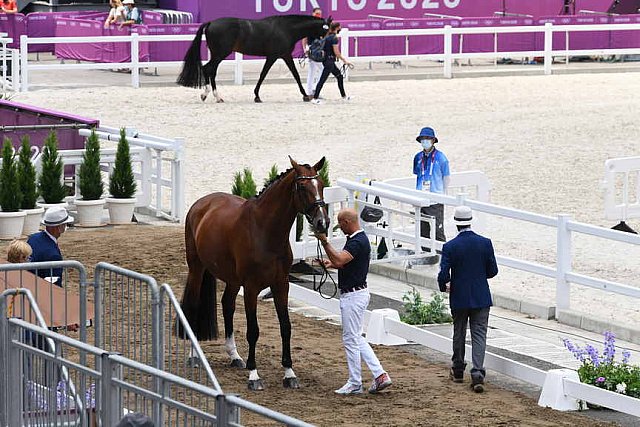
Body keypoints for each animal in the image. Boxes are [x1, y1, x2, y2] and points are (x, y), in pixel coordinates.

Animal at [178, 15, 332, 103]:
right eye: (326, 30)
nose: (325, 46)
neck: (286, 29)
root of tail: (210, 23)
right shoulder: (277, 56)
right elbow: (269, 75)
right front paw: (306, 95)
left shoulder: (281, 56)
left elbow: (289, 74)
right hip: (220, 54)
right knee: (208, 69)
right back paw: (211, 95)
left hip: (218, 54)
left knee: (211, 71)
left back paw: (215, 96)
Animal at [181, 157, 328, 392]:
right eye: (303, 187)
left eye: (321, 185)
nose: (323, 223)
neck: (265, 231)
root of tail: (201, 203)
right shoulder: (251, 288)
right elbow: (253, 330)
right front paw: (254, 375)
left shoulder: (281, 285)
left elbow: (286, 327)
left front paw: (289, 373)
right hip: (197, 268)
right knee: (193, 308)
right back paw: (194, 356)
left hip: (232, 279)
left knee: (227, 305)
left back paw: (235, 356)